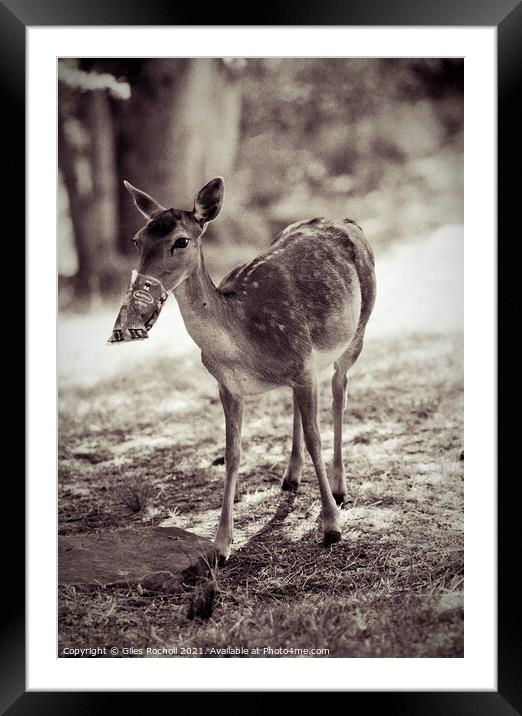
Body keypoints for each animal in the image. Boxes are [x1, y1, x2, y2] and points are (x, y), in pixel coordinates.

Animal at [123, 176, 374, 564]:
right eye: (137, 239)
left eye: (181, 240)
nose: (141, 288)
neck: (242, 344)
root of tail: (349, 222)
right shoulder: (229, 385)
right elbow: (232, 453)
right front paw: (220, 545)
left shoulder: (302, 364)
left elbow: (315, 439)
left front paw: (332, 527)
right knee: (301, 405)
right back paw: (290, 477)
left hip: (357, 331)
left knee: (339, 394)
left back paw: (339, 487)